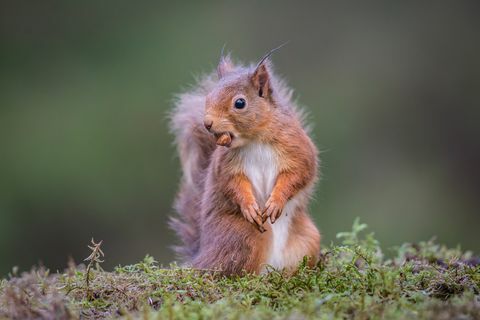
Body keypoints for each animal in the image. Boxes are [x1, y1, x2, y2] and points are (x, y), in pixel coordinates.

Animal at [171, 48, 320, 276]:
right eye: (208, 97)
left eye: (239, 103)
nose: (207, 123)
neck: (255, 139)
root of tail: (201, 255)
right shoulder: (225, 165)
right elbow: (232, 183)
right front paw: (249, 206)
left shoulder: (298, 149)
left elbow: (298, 173)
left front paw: (276, 201)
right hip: (244, 235)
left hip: (308, 239)